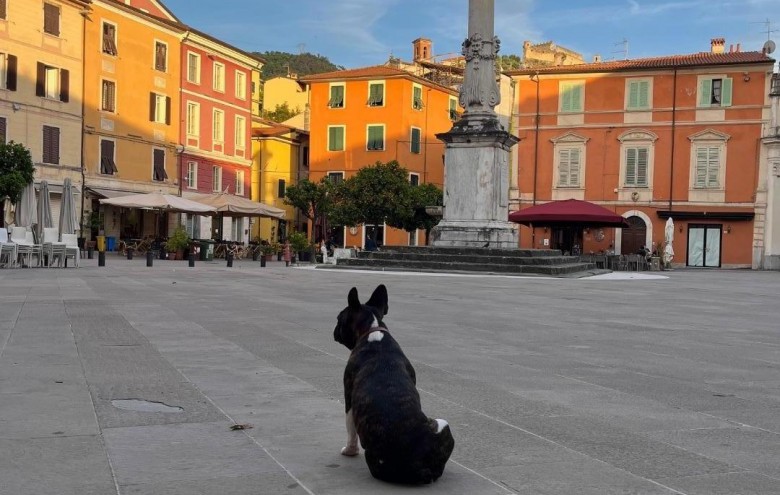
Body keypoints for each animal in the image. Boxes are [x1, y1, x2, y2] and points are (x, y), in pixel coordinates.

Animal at [332, 282, 454, 484]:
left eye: (338, 318)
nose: (334, 330)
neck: (373, 331)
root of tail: (417, 466)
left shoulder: (348, 395)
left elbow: (350, 428)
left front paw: (350, 451)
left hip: (442, 423)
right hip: (441, 425)